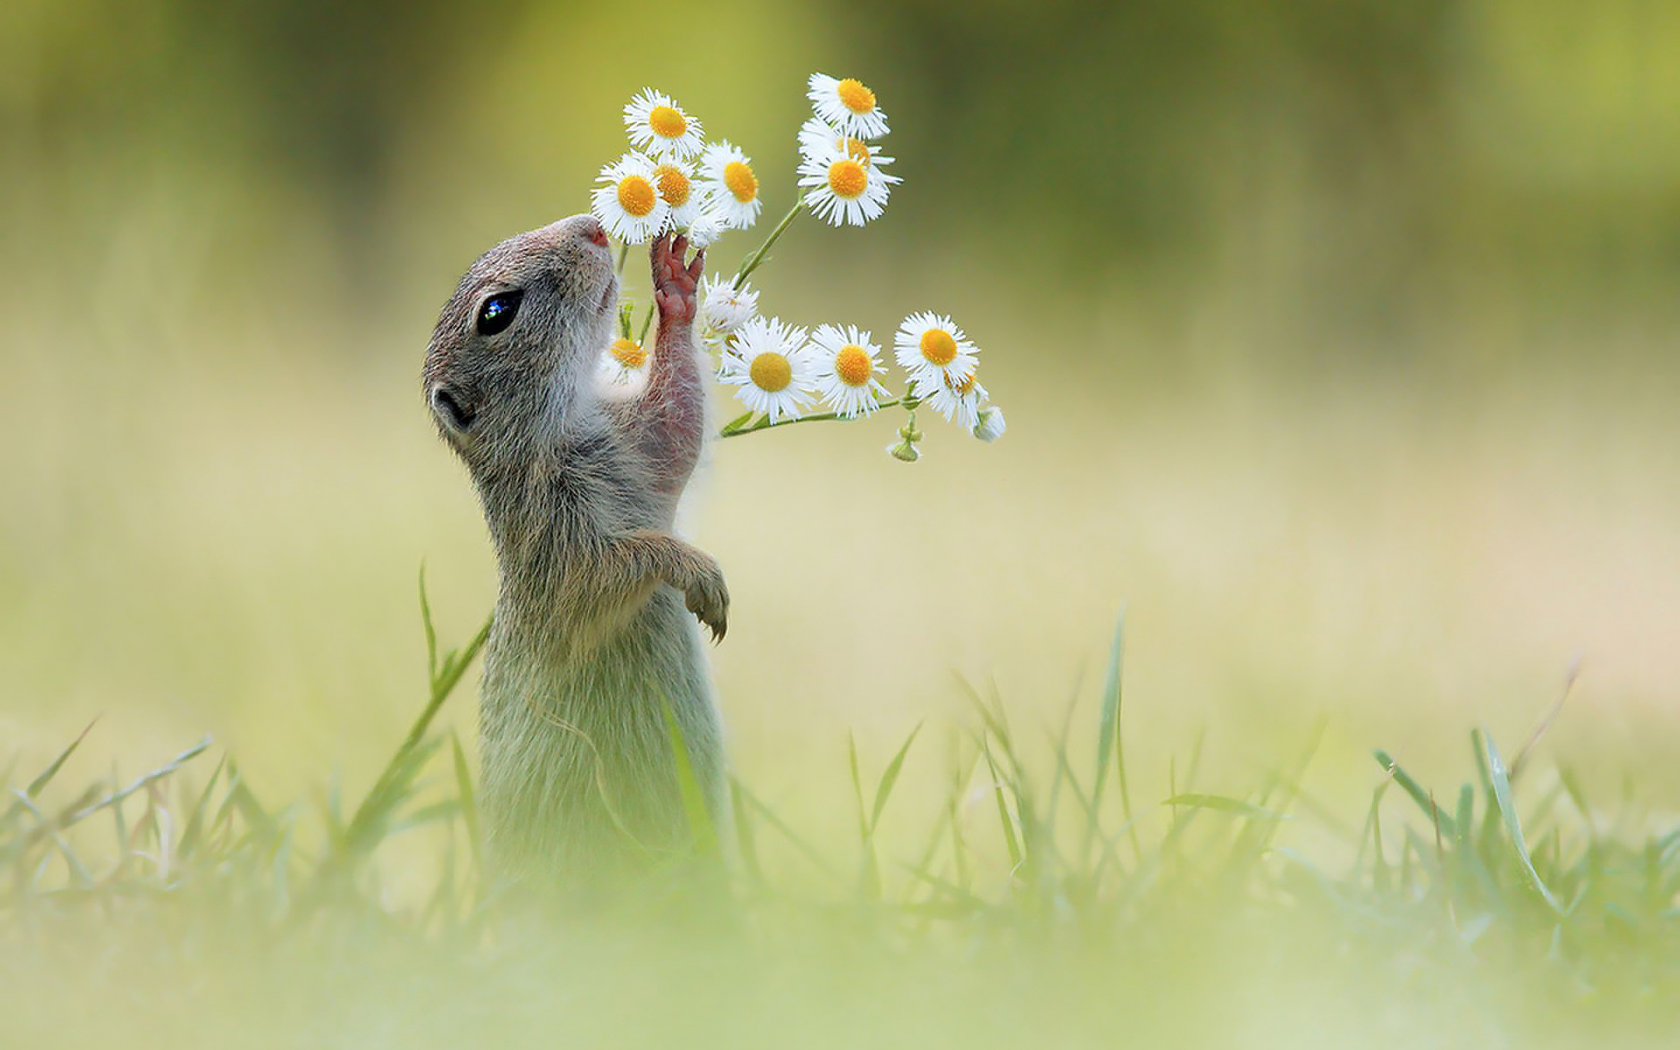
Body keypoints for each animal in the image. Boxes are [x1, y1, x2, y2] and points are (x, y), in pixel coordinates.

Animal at [423, 216, 725, 880]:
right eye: (497, 311)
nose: (592, 227)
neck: (563, 434)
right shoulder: (554, 545)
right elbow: (607, 574)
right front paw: (694, 569)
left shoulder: (642, 445)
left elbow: (680, 421)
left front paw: (675, 284)